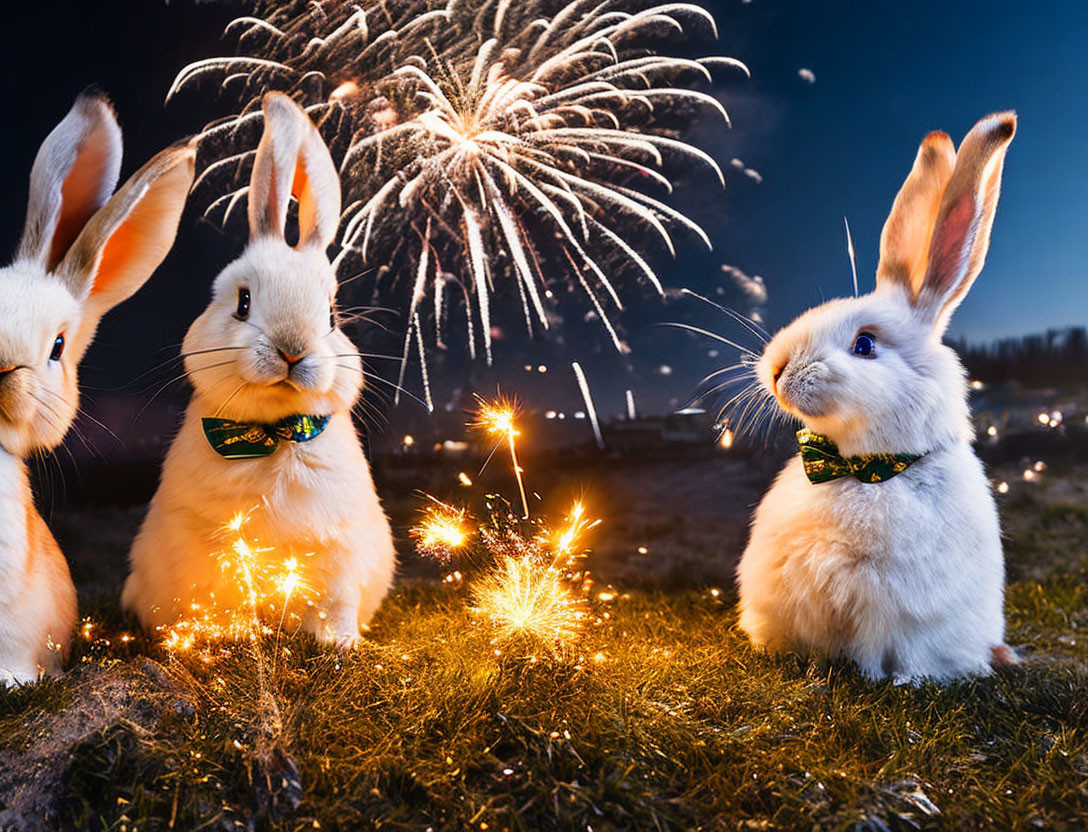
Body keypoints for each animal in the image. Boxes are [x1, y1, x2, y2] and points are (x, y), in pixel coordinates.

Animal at [124, 92, 396, 648]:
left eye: (332, 316)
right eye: (243, 302)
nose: (293, 349)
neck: (274, 434)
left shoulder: (339, 553)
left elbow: (333, 606)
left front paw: (338, 644)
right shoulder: (212, 552)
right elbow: (225, 602)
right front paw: (232, 638)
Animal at [735, 112, 1022, 683]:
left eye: (864, 345)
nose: (776, 370)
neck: (859, 468)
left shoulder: (901, 619)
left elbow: (897, 656)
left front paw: (896, 681)